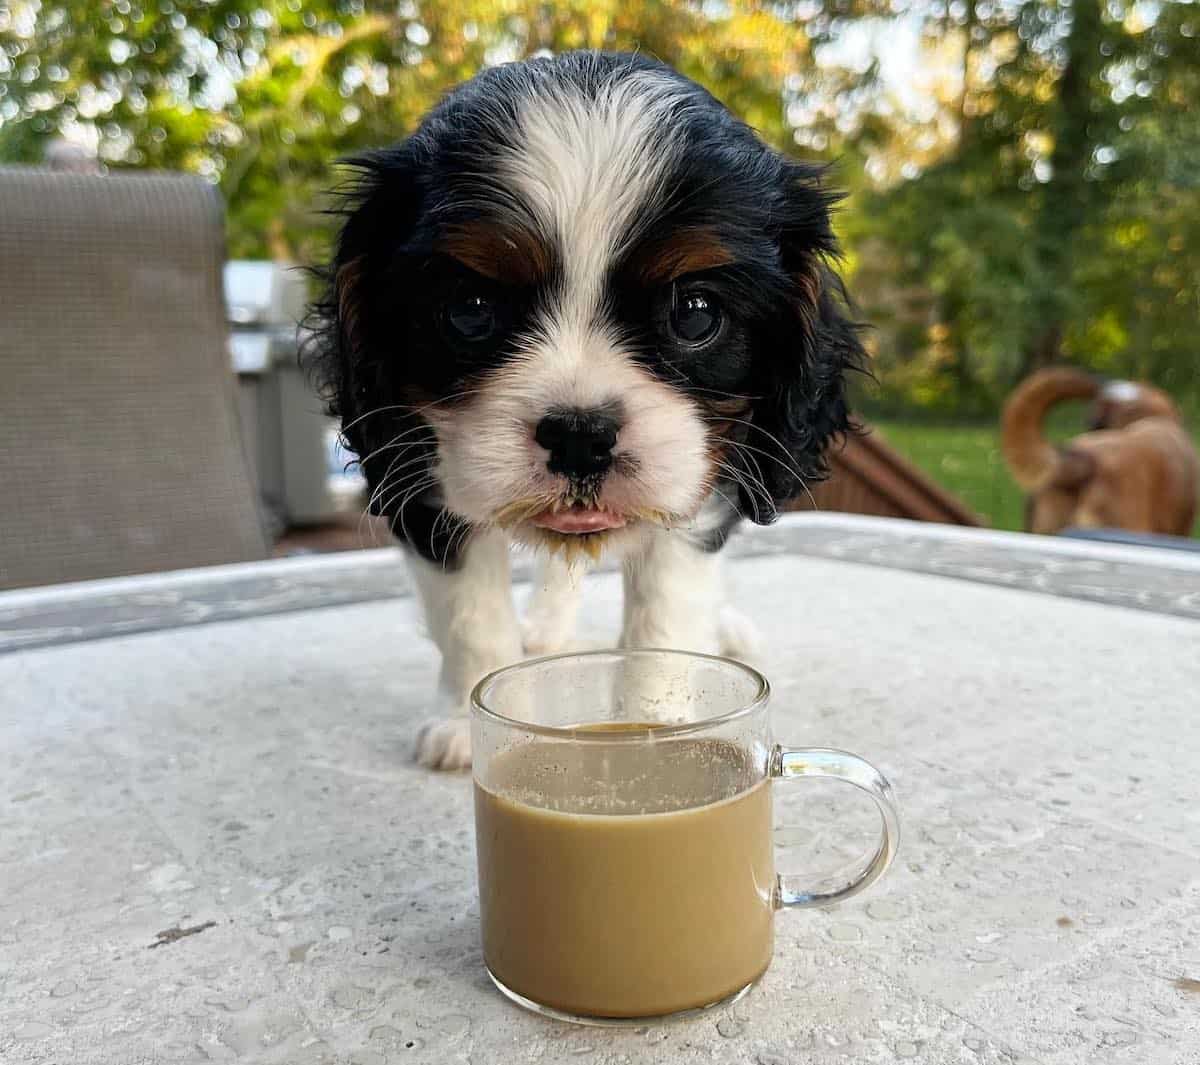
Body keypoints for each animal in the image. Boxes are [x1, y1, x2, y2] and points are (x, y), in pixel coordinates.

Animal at [307, 51, 864, 767]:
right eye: (469, 310)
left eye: (695, 313)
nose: (580, 437)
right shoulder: (421, 480)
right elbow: (469, 617)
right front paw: (471, 723)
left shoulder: (695, 490)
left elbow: (663, 615)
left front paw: (660, 729)